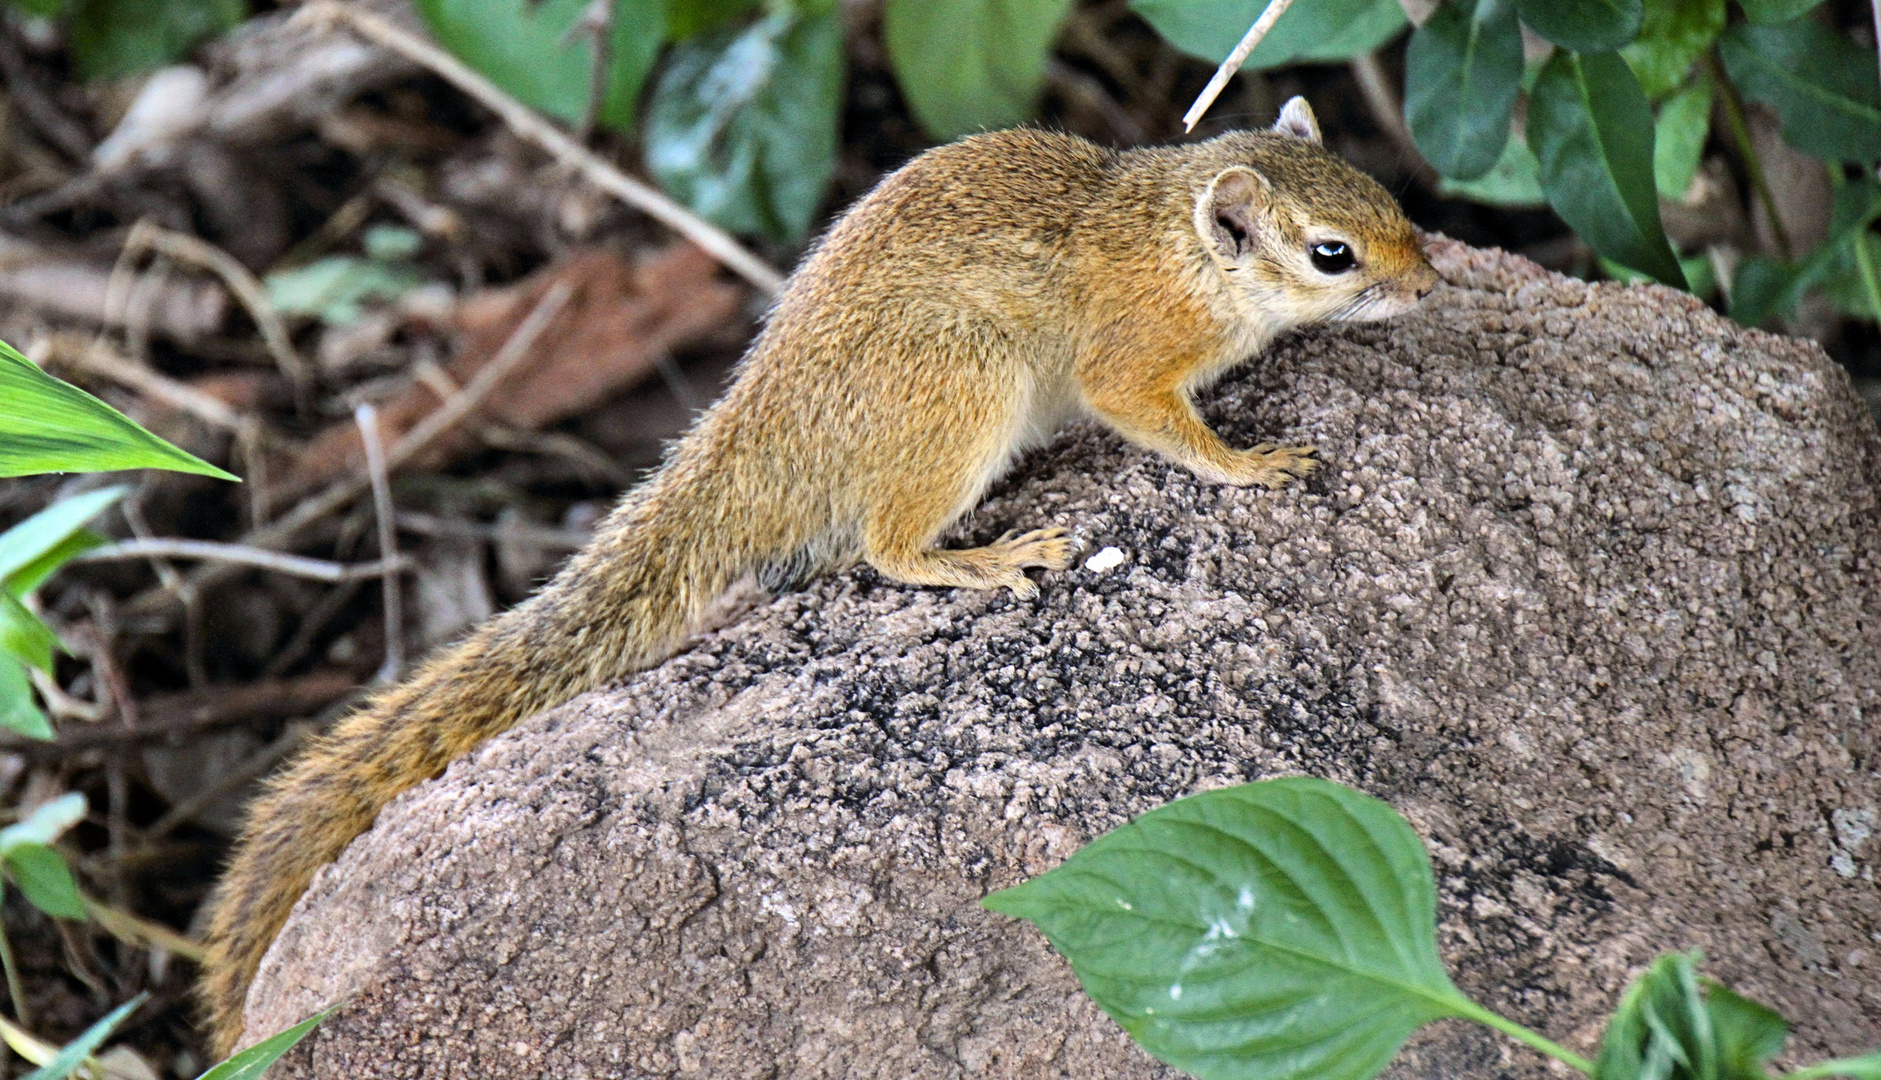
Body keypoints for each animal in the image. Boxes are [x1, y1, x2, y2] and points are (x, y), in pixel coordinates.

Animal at [202, 97, 1437, 1053]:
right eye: (1332, 253)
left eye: (1389, 198)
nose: (1431, 284)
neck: (1174, 240)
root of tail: (758, 432)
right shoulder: (1131, 358)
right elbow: (1162, 425)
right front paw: (1248, 462)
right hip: (962, 386)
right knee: (884, 548)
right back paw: (986, 558)